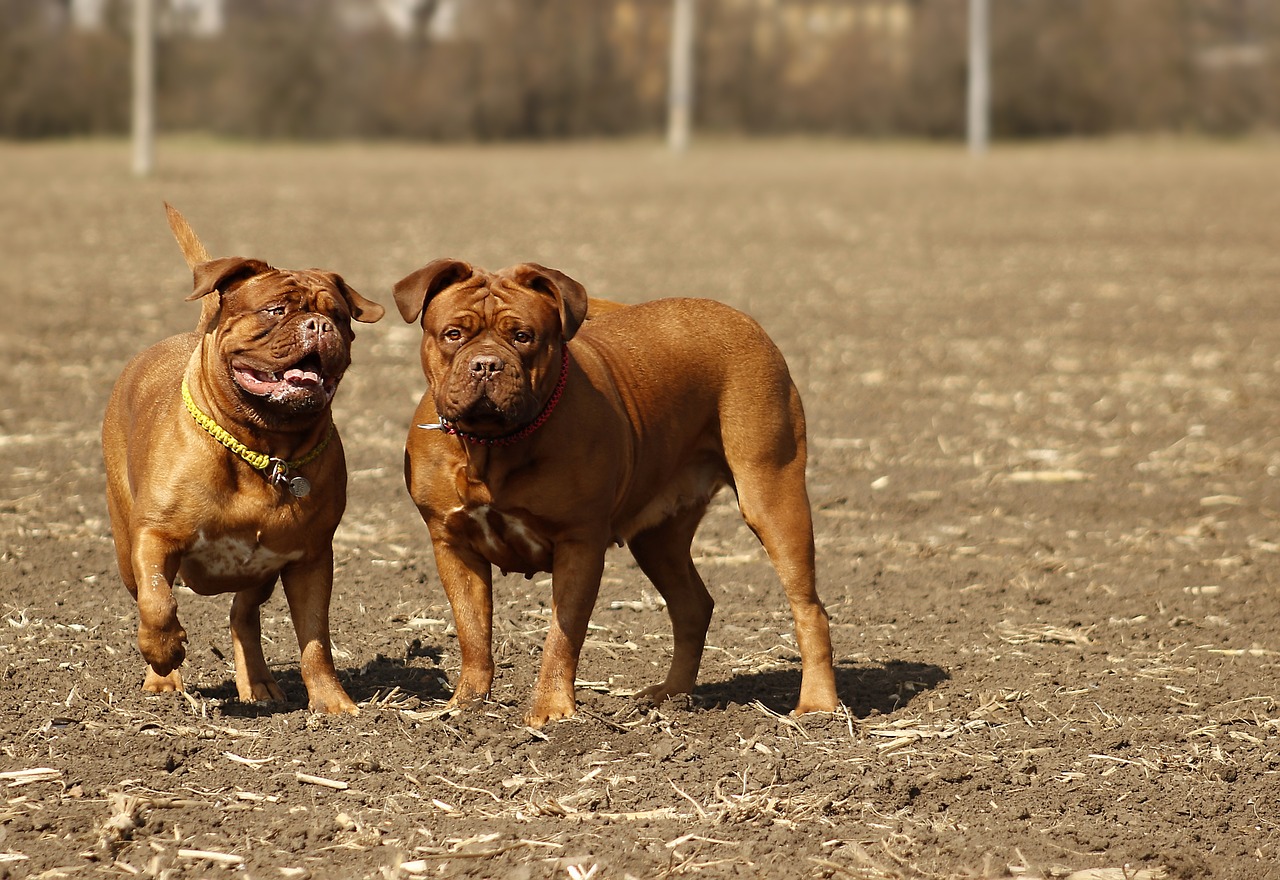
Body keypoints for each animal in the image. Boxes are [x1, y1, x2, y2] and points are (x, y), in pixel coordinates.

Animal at [102, 208, 381, 716]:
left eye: (338, 314)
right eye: (276, 310)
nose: (318, 325)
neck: (264, 445)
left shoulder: (311, 560)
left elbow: (316, 641)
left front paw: (331, 703)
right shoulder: (154, 537)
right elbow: (157, 602)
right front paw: (165, 654)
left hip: (261, 569)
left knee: (243, 614)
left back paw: (259, 684)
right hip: (124, 542)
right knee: (148, 595)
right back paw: (163, 679)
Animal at [396, 258, 839, 726]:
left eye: (522, 336)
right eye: (453, 334)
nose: (485, 365)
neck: (491, 445)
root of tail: (743, 321)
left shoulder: (579, 543)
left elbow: (562, 637)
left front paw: (552, 712)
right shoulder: (452, 544)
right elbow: (472, 632)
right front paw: (466, 705)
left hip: (772, 495)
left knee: (809, 608)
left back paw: (817, 706)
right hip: (658, 539)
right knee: (692, 605)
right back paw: (670, 695)